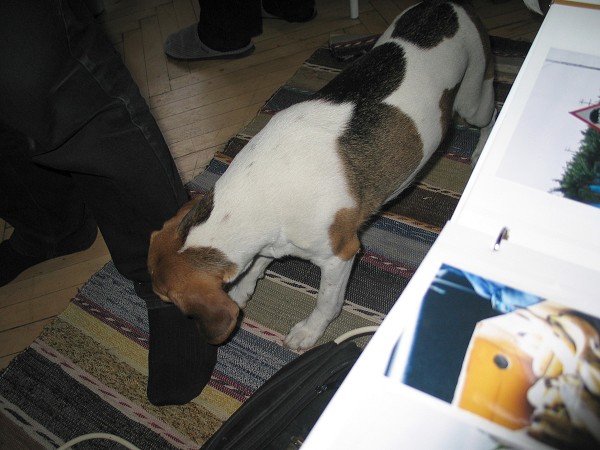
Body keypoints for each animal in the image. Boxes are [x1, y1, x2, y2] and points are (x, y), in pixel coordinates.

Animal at [148, 0, 495, 351]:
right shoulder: (270, 243)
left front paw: (309, 331)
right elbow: (257, 264)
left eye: (167, 300)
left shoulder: (341, 255)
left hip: (472, 97)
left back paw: (483, 149)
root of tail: (446, 5)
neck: (258, 193)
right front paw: (243, 290)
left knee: (490, 110)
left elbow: (326, 302)